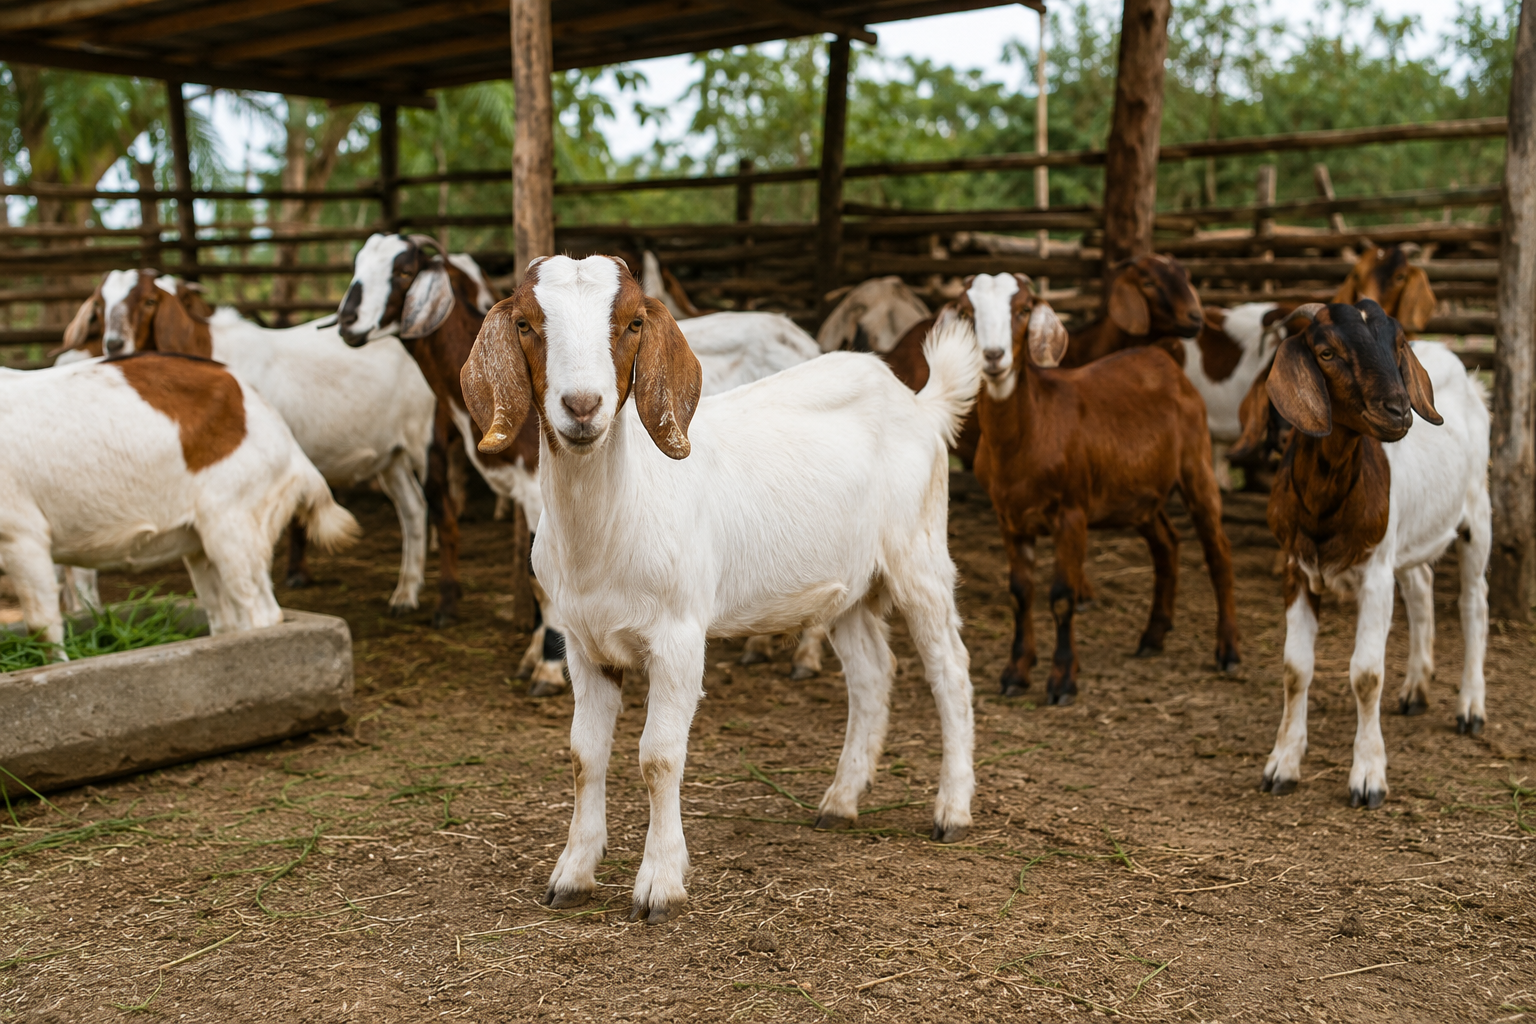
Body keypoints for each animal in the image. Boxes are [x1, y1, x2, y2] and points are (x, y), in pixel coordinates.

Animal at [0, 352, 357, 644]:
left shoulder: (22, 536)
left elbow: (42, 628)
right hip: (200, 543)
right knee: (224, 619)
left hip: (236, 522)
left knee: (260, 612)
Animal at [93, 269, 435, 615]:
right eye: (101, 304)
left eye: (149, 300)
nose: (114, 344)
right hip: (392, 456)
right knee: (413, 507)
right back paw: (405, 594)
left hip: (428, 439)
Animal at [462, 254, 979, 923]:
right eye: (526, 324)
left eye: (632, 323)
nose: (582, 405)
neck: (612, 521)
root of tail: (919, 402)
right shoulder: (583, 642)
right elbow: (584, 754)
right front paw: (572, 874)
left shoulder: (679, 636)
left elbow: (658, 756)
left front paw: (659, 883)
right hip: (847, 586)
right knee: (871, 675)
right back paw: (840, 801)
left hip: (919, 556)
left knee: (950, 672)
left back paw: (953, 810)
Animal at [954, 273, 1239, 704]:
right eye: (967, 311)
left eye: (1023, 309)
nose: (993, 356)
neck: (1032, 428)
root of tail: (1161, 357)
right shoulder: (1009, 517)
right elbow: (1020, 593)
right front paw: (1016, 673)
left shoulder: (1071, 512)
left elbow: (1062, 596)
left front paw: (1062, 681)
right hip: (1137, 493)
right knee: (1166, 544)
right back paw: (1153, 636)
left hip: (1197, 465)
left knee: (1218, 551)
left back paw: (1228, 652)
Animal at [1242, 301, 1489, 809]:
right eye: (1326, 352)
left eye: (1397, 345)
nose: (1398, 410)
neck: (1326, 500)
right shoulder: (1296, 569)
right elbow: (1295, 668)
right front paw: (1282, 765)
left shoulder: (1374, 574)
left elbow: (1366, 674)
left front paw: (1368, 776)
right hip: (1408, 535)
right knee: (1421, 588)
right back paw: (1416, 688)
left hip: (1477, 511)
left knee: (1474, 602)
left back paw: (1470, 707)